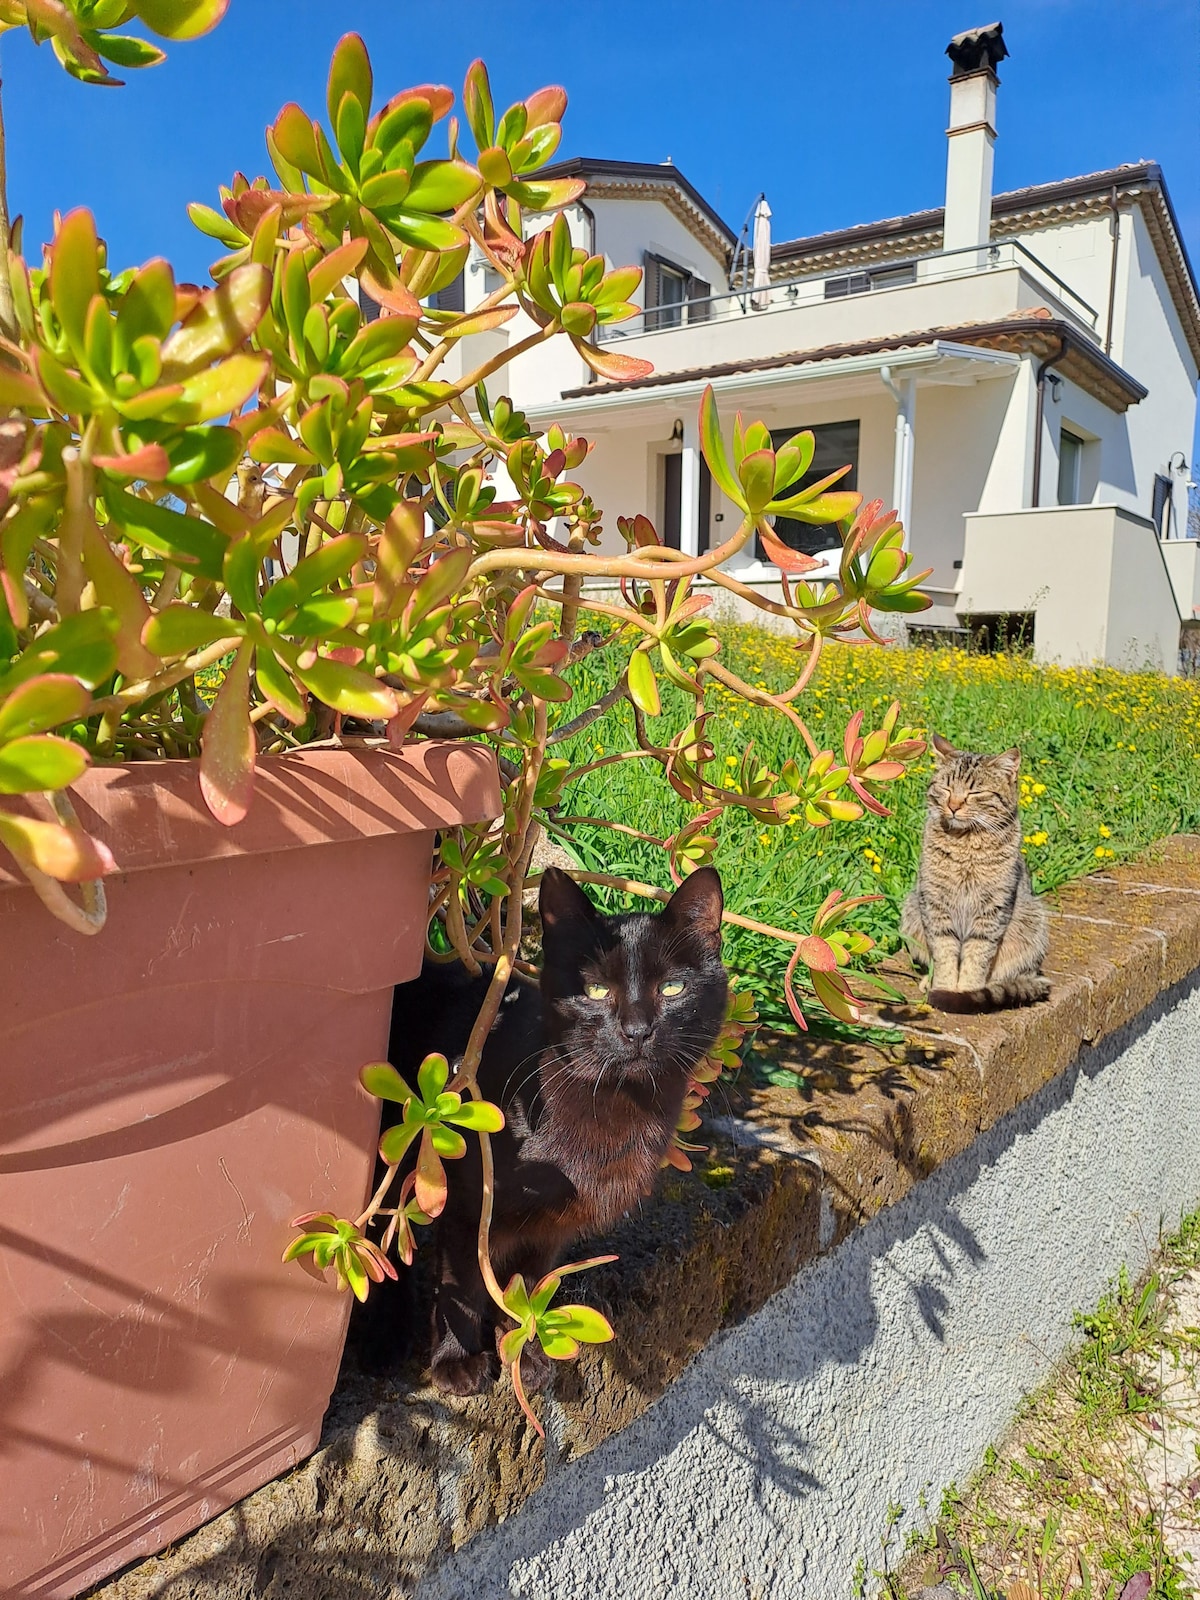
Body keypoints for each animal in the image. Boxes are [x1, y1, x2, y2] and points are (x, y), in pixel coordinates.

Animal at [380, 864, 729, 1401]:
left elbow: (528, 1285)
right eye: (596, 990)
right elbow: (463, 1284)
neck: (614, 1105)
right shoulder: (468, 1202)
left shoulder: (551, 1228)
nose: (636, 1030)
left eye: (672, 988)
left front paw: (525, 1353)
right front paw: (457, 1362)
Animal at [902, 732, 1049, 1011]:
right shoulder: (935, 904)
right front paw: (943, 986)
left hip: (1033, 924)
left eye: (975, 792)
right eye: (947, 788)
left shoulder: (992, 910)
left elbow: (977, 957)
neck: (966, 844)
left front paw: (965, 991)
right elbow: (944, 953)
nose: (953, 805)